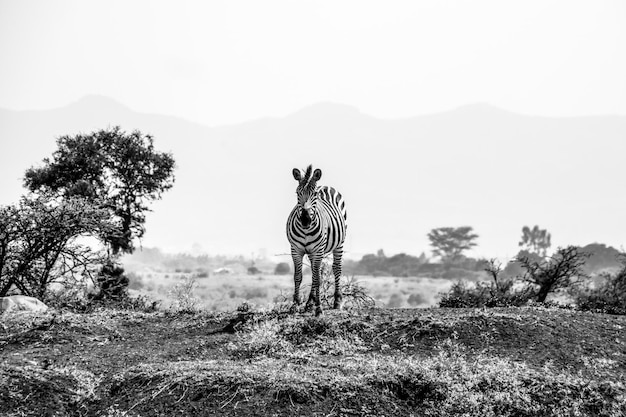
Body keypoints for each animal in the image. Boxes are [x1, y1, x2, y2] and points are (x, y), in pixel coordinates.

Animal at [286, 164, 346, 314]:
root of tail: (325, 186)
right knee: (314, 272)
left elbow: (318, 279)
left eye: (314, 195)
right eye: (297, 193)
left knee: (336, 268)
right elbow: (298, 276)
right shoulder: (296, 250)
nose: (305, 220)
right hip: (312, 252)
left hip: (339, 244)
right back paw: (309, 303)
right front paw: (295, 305)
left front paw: (319, 308)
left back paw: (337, 301)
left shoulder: (318, 250)